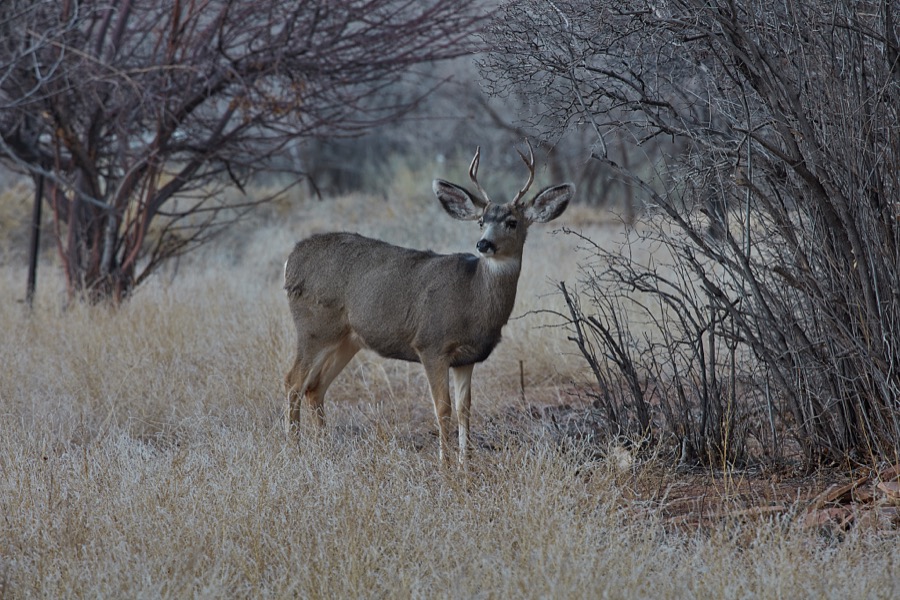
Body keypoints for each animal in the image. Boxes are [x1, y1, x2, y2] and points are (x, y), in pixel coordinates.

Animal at [283, 142, 574, 465]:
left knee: (314, 387)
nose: (483, 244)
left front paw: (465, 464)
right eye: (481, 222)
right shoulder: (431, 344)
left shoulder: (467, 357)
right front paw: (445, 464)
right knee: (292, 382)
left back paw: (324, 450)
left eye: (512, 222)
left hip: (348, 339)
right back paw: (294, 450)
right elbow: (442, 407)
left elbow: (464, 409)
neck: (473, 298)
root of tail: (291, 259)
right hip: (313, 327)